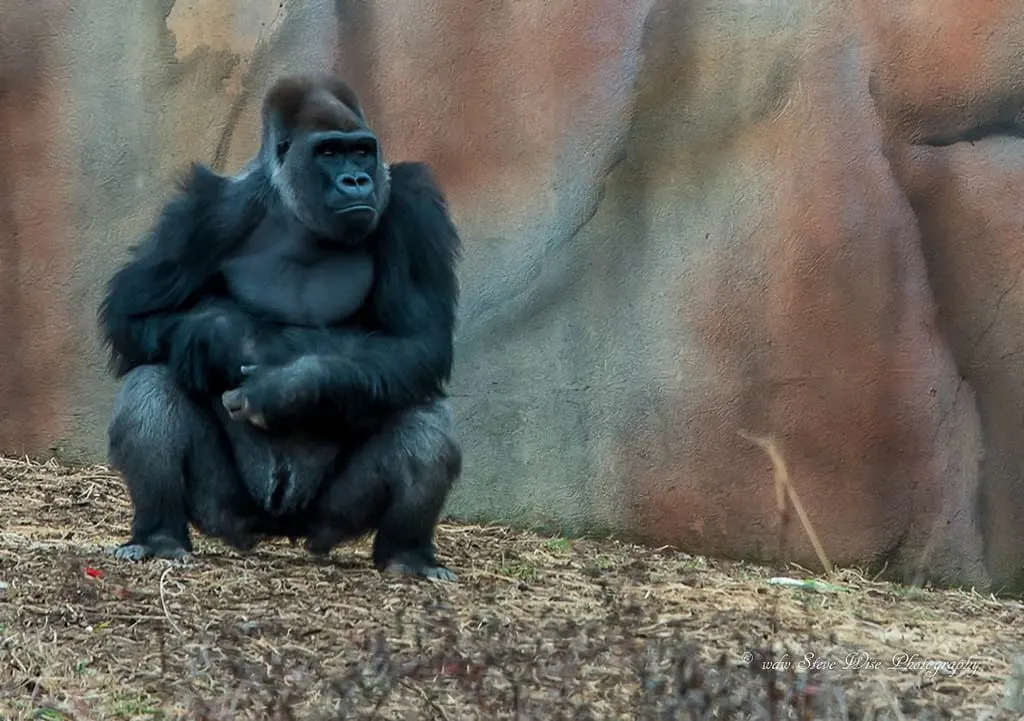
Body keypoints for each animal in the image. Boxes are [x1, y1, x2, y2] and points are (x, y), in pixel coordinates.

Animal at [96, 73, 464, 581]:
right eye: (328, 152)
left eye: (362, 151)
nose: (357, 180)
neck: (292, 210)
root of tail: (279, 528)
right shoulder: (208, 210)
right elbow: (132, 315)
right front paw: (222, 334)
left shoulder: (414, 207)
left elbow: (418, 342)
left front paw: (290, 387)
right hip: (225, 510)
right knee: (151, 381)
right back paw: (159, 535)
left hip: (331, 517)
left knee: (423, 411)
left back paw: (406, 554)